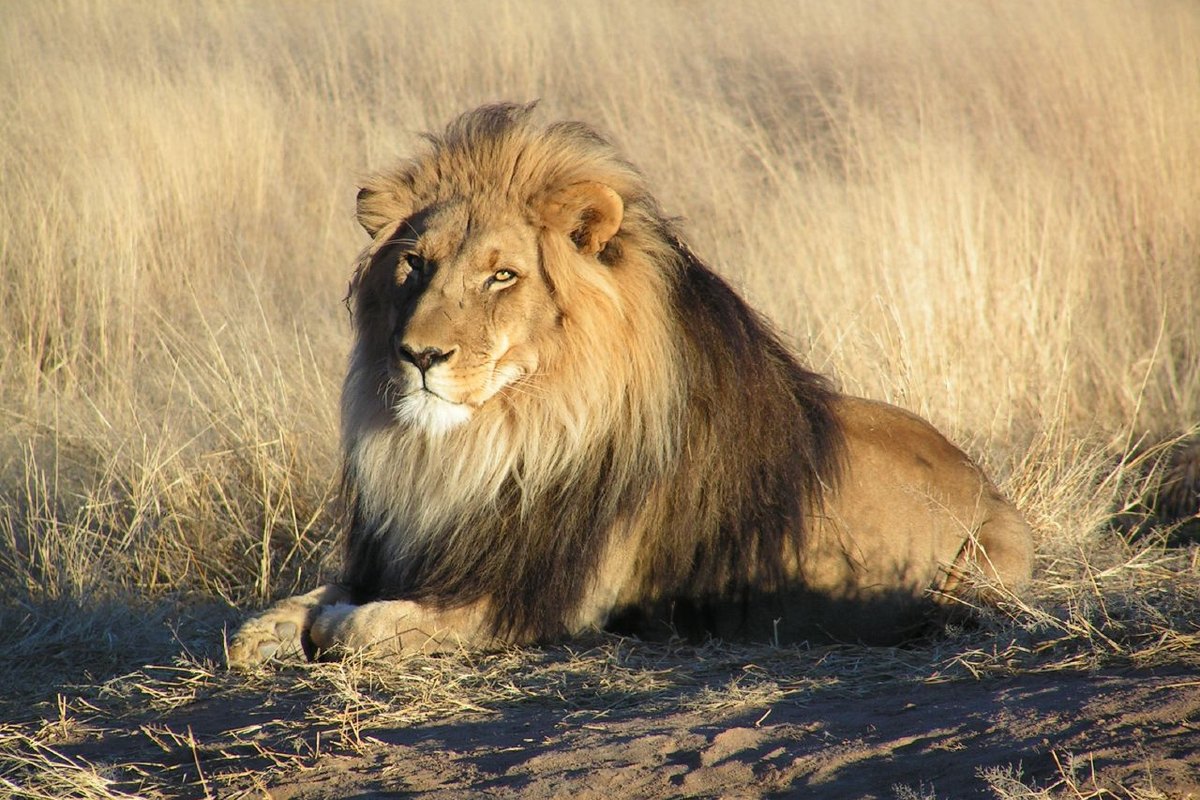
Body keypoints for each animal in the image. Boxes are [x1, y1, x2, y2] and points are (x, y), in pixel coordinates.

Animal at [227, 103, 1034, 666]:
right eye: (414, 265)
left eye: (502, 275)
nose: (418, 355)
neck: (489, 444)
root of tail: (986, 481)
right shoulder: (415, 553)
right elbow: (298, 604)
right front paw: (268, 630)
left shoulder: (538, 600)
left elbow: (362, 627)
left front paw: (330, 627)